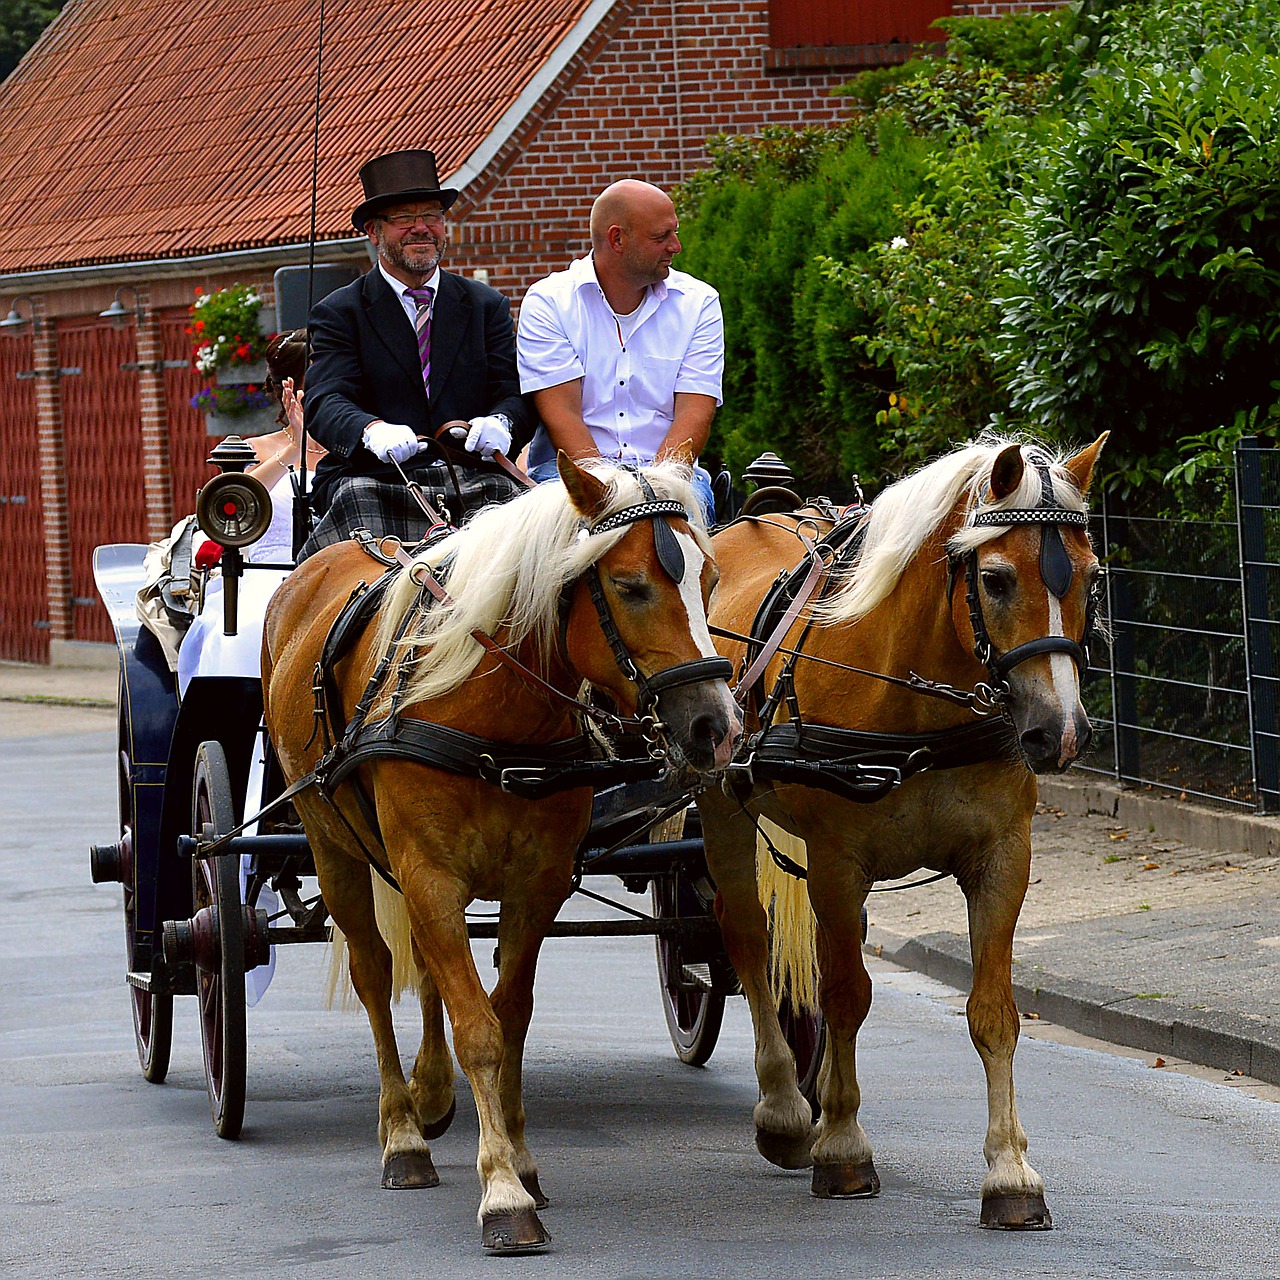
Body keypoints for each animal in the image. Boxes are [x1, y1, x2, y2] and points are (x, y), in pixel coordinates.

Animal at [261, 455, 742, 1254]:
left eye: (709, 580)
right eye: (629, 585)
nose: (715, 727)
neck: (494, 715)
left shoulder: (533, 883)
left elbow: (507, 1016)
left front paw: (520, 1160)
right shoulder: (429, 875)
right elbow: (479, 1030)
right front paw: (503, 1195)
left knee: (428, 973)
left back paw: (429, 1094)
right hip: (334, 845)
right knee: (373, 972)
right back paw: (402, 1135)